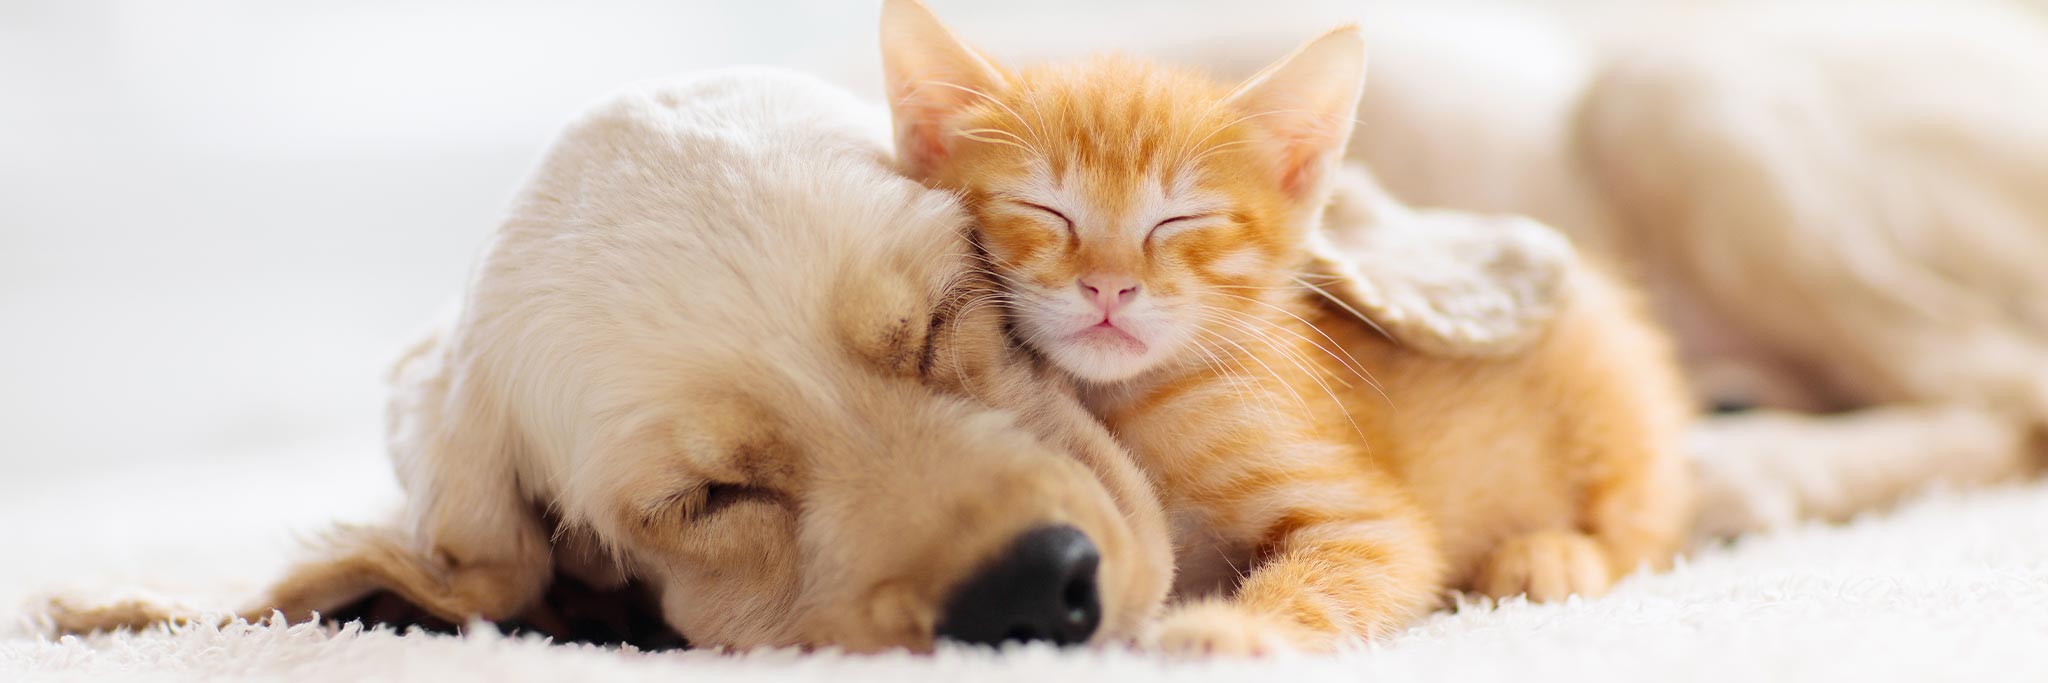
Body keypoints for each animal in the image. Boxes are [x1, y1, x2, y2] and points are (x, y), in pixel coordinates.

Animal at [880, 0, 1695, 652]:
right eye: (1044, 209)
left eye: (1180, 220)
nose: (1109, 284)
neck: (1128, 403)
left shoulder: (1369, 523)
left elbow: (1334, 573)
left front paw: (1231, 629)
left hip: (1612, 394)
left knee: (1649, 525)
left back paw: (1553, 553)